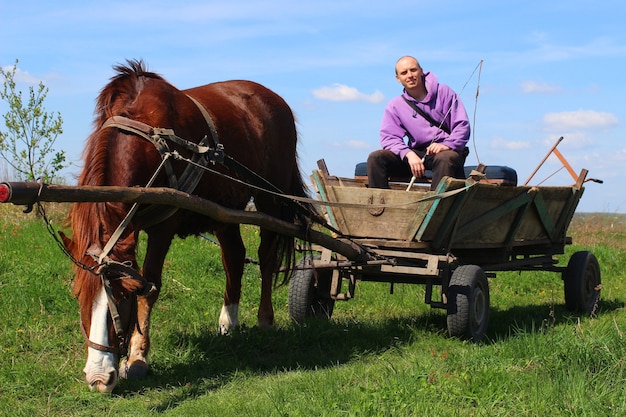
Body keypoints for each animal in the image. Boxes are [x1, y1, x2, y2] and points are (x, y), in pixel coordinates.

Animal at [64, 60, 312, 392]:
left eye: (125, 295)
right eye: (80, 295)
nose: (99, 379)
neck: (146, 134)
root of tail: (276, 100)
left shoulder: (163, 227)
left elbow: (150, 286)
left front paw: (138, 358)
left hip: (268, 198)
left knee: (267, 257)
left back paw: (265, 319)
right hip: (224, 209)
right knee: (234, 256)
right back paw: (228, 321)